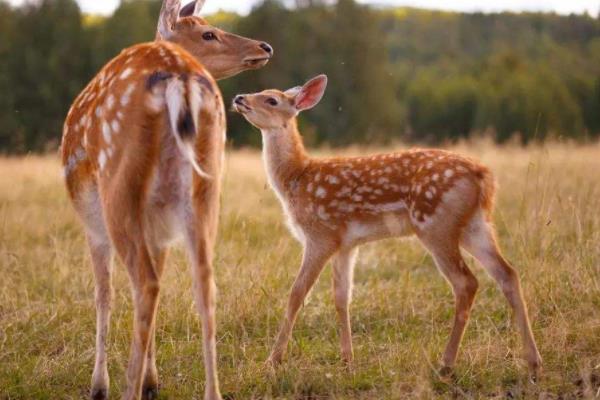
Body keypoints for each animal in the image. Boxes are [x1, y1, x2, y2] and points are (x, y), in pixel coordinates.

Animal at [60, 1, 272, 398]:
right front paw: (152, 381)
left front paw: (100, 386)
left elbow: (103, 293)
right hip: (206, 186)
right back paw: (210, 392)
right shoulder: (158, 226)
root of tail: (179, 78)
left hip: (117, 188)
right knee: (204, 282)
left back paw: (126, 388)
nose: (264, 47)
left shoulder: (93, 224)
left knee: (145, 284)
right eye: (208, 32)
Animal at [234, 76, 544, 380]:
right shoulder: (346, 244)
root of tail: (484, 177)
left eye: (271, 100)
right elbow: (341, 297)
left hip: (435, 224)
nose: (239, 98)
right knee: (507, 273)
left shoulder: (320, 234)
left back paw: (446, 364)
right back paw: (533, 362)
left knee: (466, 282)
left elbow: (297, 294)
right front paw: (347, 360)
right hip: (475, 225)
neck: (296, 178)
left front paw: (273, 361)